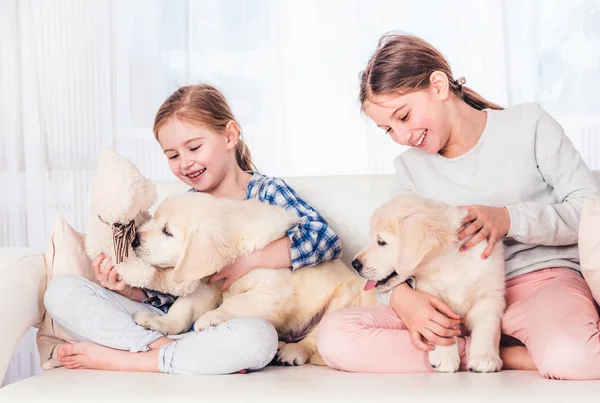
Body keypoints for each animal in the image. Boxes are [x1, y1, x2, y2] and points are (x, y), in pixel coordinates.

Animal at [132, 193, 376, 366]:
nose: (134, 240)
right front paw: (160, 322)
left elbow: (236, 301)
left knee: (317, 337)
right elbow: (184, 308)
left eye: (167, 231)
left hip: (343, 300)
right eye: (155, 219)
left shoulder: (272, 291)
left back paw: (291, 351)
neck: (236, 247)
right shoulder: (208, 285)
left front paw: (211, 317)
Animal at [352, 194, 506, 374]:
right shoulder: (429, 293)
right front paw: (445, 358)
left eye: (381, 242)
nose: (354, 264)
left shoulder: (490, 296)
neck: (447, 262)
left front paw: (485, 358)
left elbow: (488, 326)